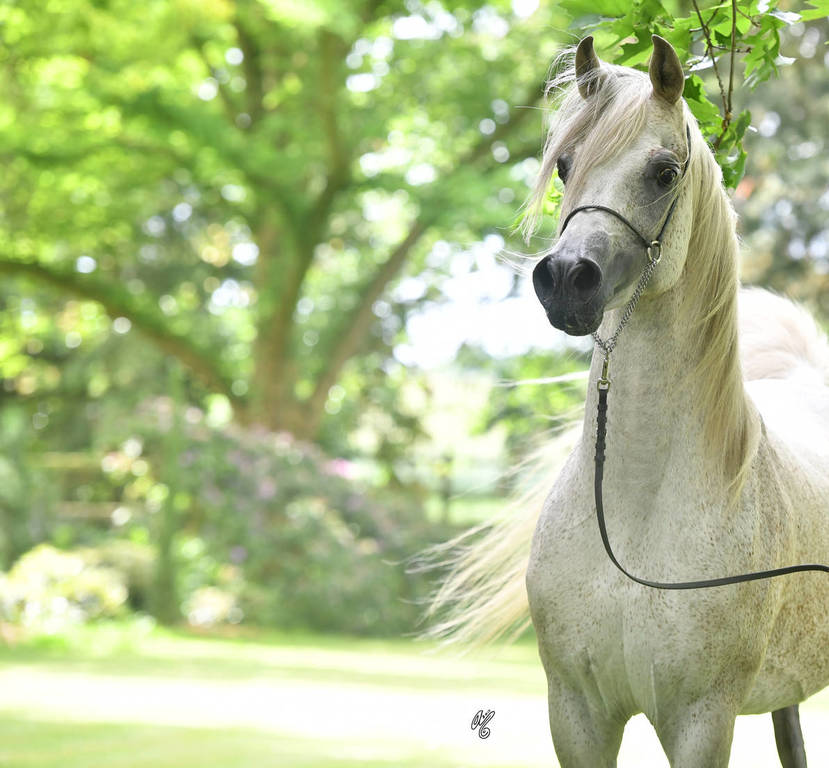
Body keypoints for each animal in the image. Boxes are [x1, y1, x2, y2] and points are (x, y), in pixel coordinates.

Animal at [428, 35, 829, 768]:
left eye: (664, 172)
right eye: (564, 165)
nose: (565, 279)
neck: (632, 515)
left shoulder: (700, 721)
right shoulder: (577, 714)